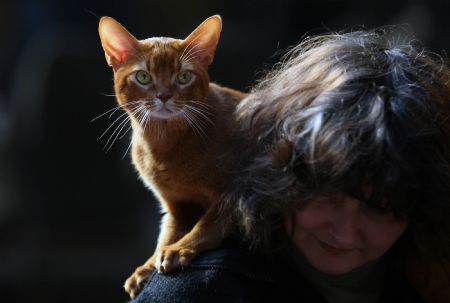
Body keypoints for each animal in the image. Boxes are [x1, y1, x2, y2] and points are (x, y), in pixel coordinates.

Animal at [98, 14, 248, 300]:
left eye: (184, 76)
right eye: (143, 77)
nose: (164, 96)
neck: (164, 147)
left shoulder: (238, 190)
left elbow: (209, 224)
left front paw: (180, 250)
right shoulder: (176, 205)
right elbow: (165, 235)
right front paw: (145, 269)